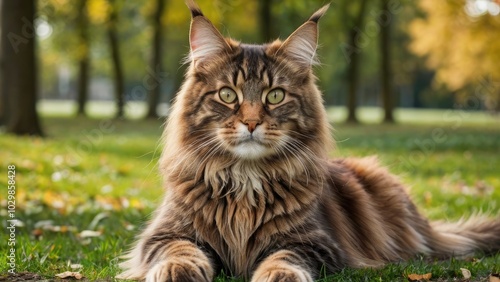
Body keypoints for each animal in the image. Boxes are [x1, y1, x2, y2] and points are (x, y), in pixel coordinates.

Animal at [118, 1, 500, 280]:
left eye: (275, 96)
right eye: (228, 95)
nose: (252, 122)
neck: (244, 180)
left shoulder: (315, 243)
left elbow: (283, 257)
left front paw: (278, 276)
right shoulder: (165, 233)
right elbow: (179, 249)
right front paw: (177, 269)